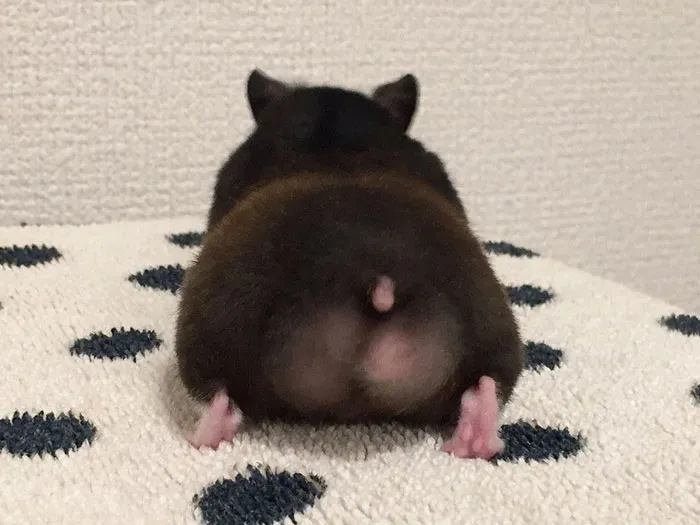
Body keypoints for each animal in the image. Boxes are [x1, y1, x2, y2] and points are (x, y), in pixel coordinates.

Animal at [173, 69, 525, 459]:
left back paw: (203, 435)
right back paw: (472, 439)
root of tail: (377, 283)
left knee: (218, 396)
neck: (335, 131)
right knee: (486, 389)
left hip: (210, 328)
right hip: (493, 328)